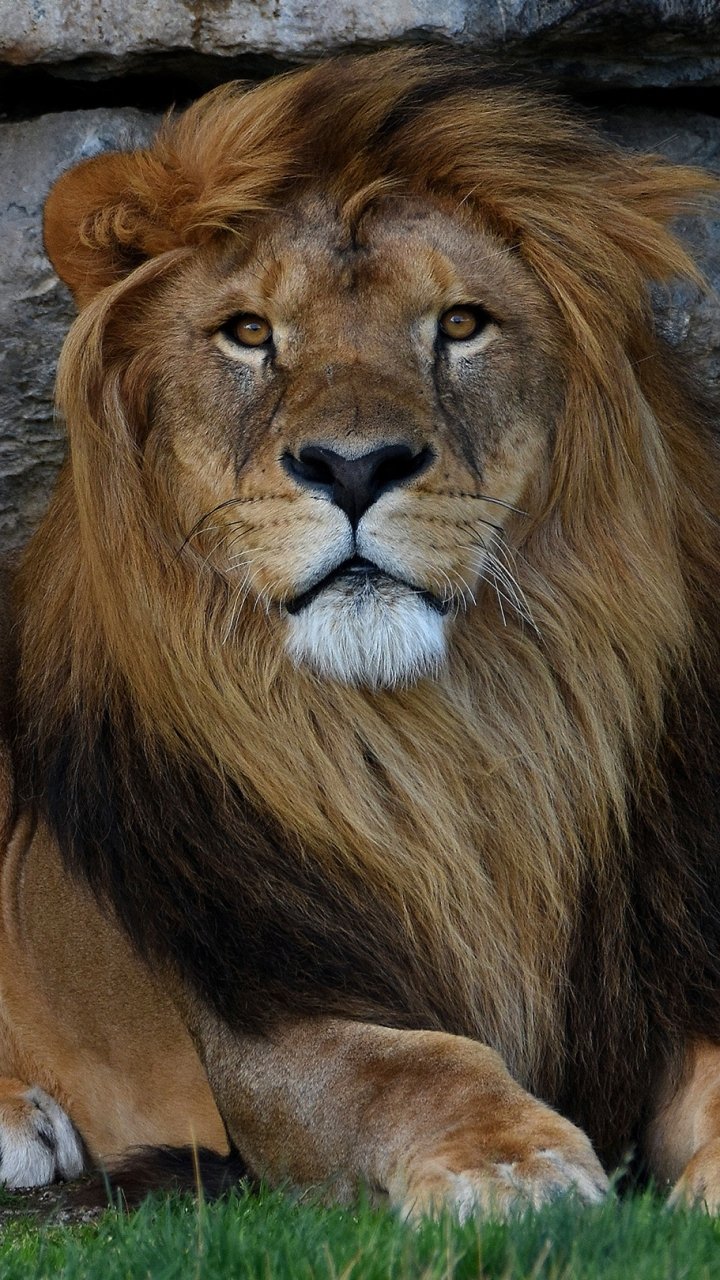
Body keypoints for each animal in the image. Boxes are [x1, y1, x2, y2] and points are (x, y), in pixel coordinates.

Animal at [0, 47, 718, 1215]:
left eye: (460, 324)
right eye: (250, 333)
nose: (353, 465)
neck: (433, 741)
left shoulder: (663, 959)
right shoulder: (257, 1017)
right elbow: (411, 1065)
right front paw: (508, 1162)